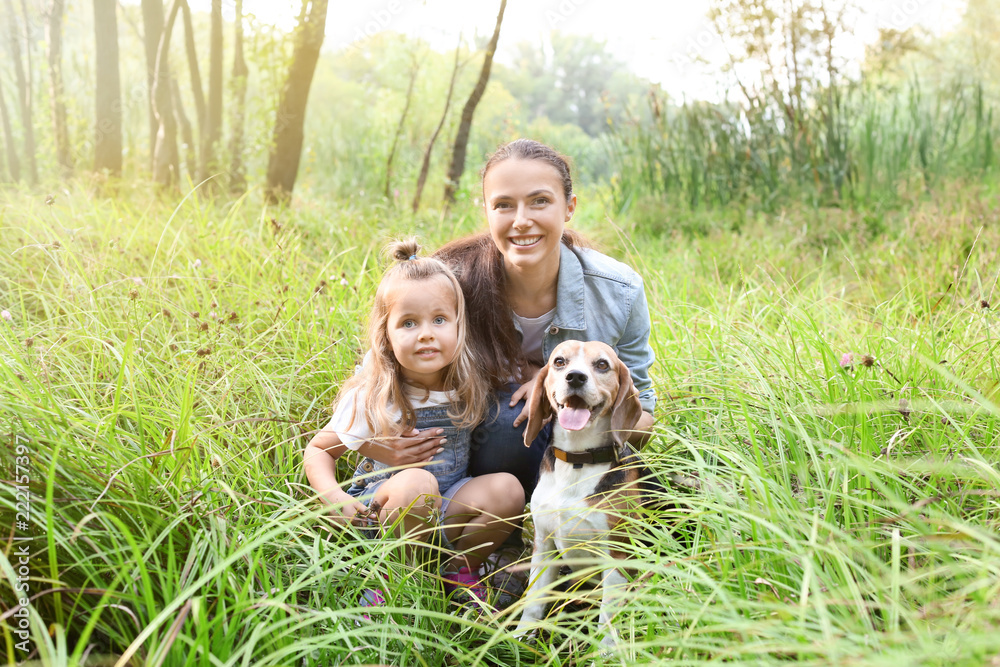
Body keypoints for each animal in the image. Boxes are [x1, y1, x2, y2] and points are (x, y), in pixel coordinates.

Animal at [516, 340, 648, 648]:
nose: (575, 377)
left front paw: (607, 651)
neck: (577, 460)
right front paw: (519, 636)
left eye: (602, 364)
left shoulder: (617, 554)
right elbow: (534, 598)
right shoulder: (543, 543)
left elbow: (608, 614)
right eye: (559, 361)